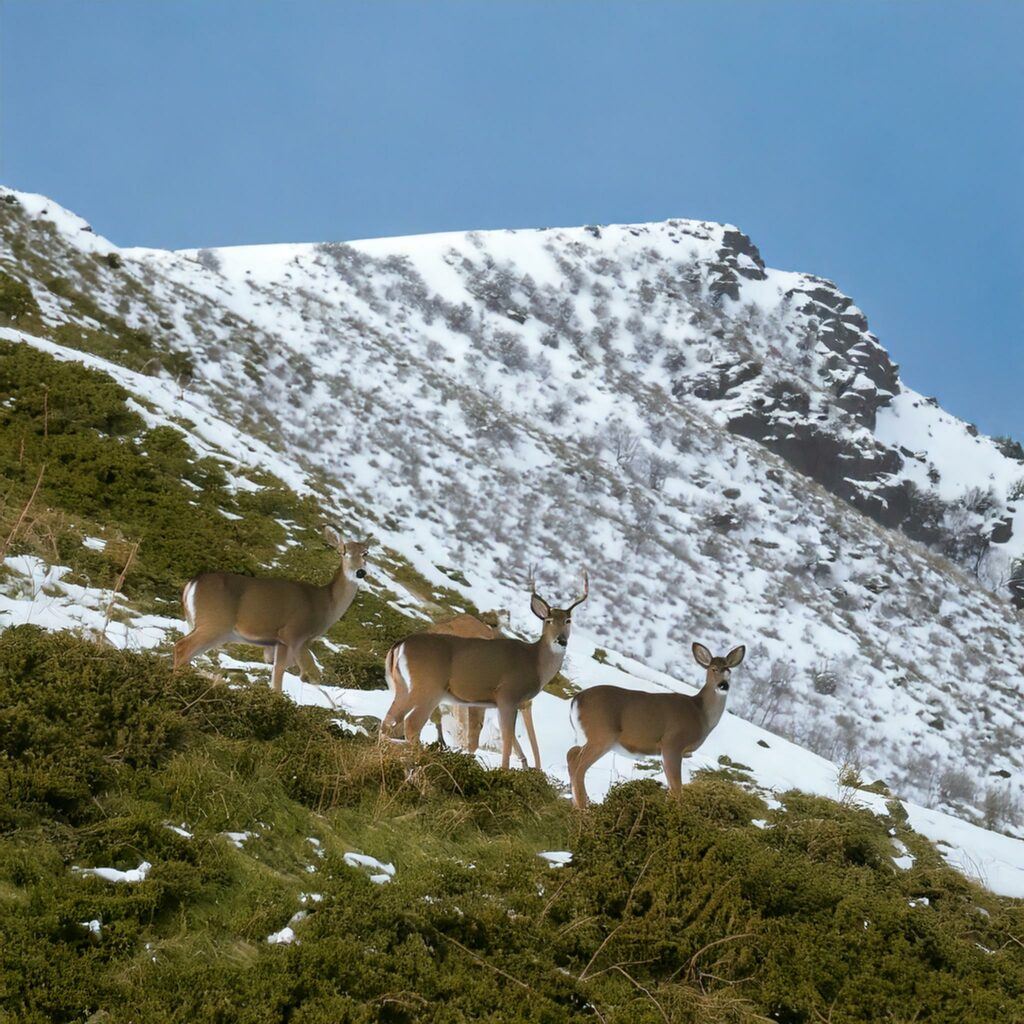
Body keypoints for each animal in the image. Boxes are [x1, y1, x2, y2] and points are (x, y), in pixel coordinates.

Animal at [174, 524, 374, 692]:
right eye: (342, 552)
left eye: (366, 553)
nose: (360, 572)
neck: (326, 604)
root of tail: (192, 583)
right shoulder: (291, 634)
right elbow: (287, 675)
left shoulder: (278, 643)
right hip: (215, 623)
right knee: (182, 647)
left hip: (202, 625)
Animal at [569, 638, 745, 806]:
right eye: (713, 668)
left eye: (729, 671)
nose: (723, 685)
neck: (701, 714)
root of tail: (577, 699)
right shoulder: (672, 743)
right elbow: (677, 788)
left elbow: (672, 788)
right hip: (602, 734)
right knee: (579, 767)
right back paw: (584, 809)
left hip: (585, 736)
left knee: (571, 755)